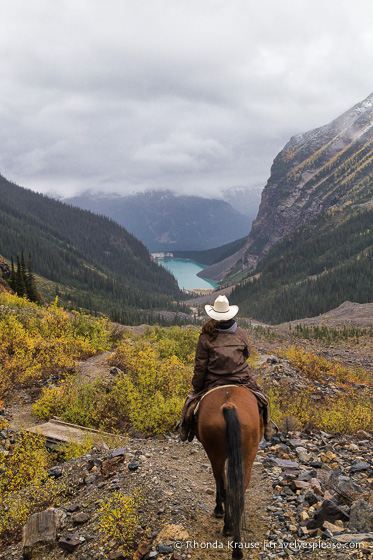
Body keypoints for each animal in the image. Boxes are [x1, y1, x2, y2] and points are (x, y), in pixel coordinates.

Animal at [195, 388, 262, 556]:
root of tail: (229, 405)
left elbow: (220, 482)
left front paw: (219, 509)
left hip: (216, 453)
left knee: (225, 486)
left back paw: (228, 529)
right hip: (246, 454)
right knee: (237, 492)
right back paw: (235, 544)